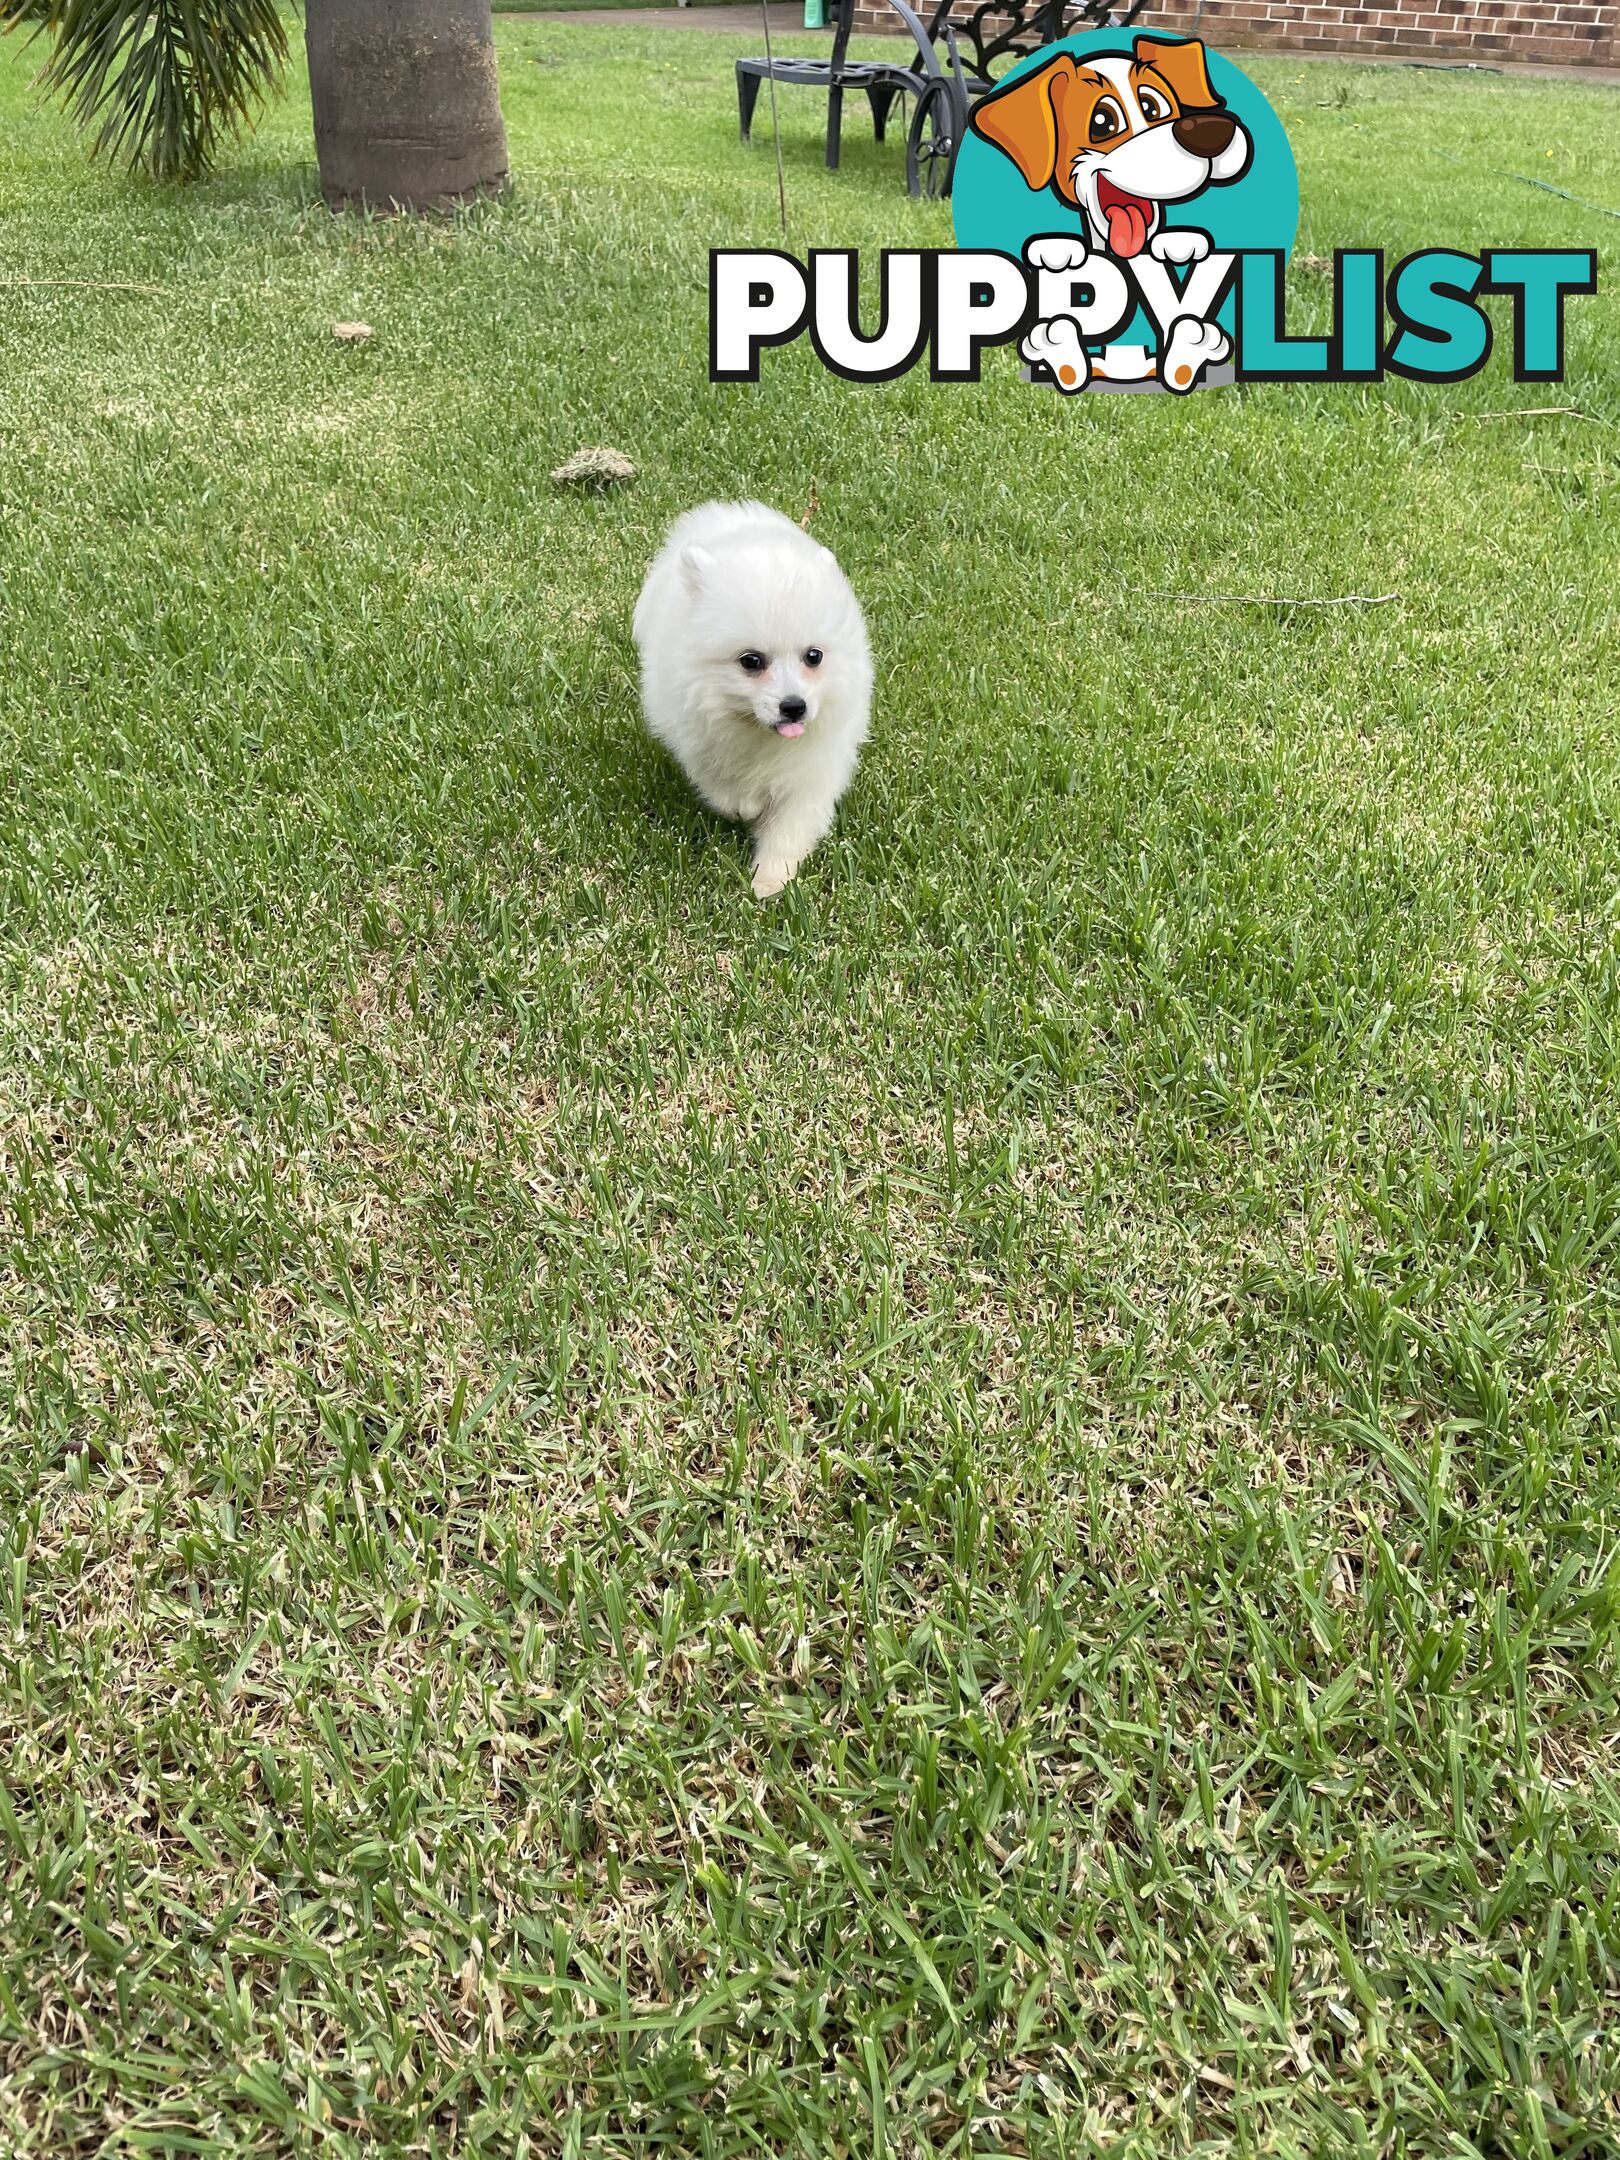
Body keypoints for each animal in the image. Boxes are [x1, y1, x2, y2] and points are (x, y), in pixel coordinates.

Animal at [630, 501, 868, 898]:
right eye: (751, 661)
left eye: (814, 656)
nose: (794, 706)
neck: (756, 731)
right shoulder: (697, 736)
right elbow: (721, 786)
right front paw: (745, 807)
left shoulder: (813, 767)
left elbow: (791, 826)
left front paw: (770, 880)